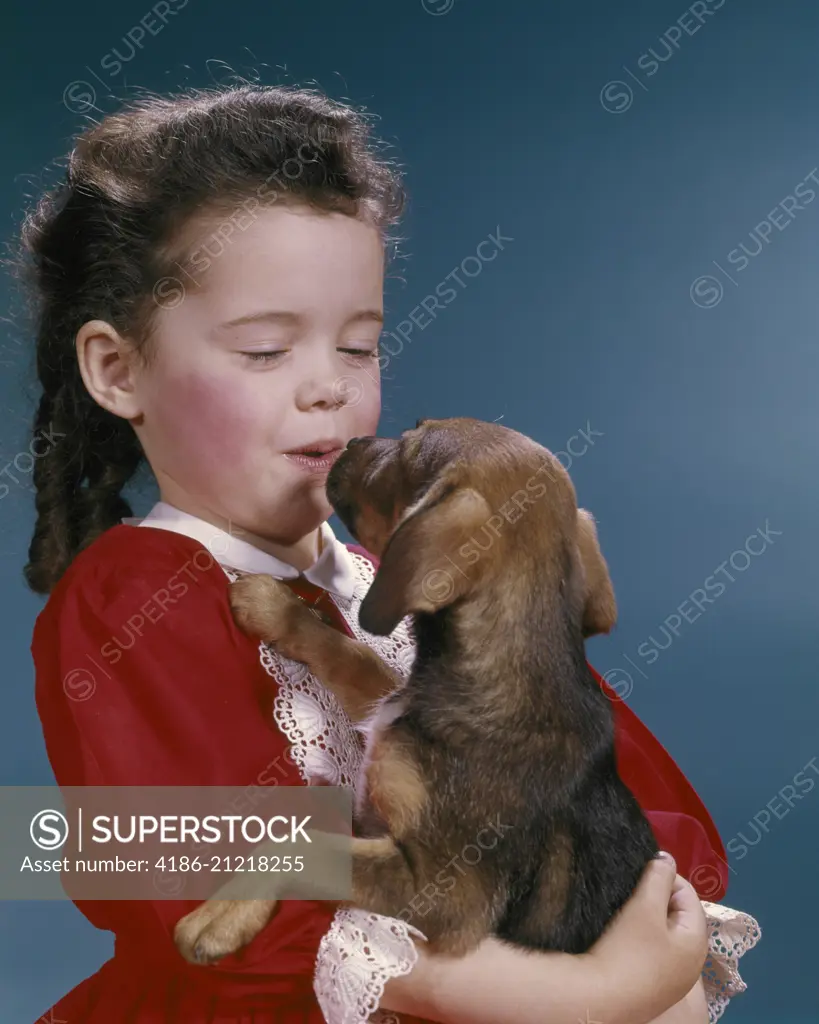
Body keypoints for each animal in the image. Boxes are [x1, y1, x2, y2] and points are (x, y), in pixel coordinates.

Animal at [174, 415, 659, 966]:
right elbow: (355, 654)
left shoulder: (445, 889)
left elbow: (311, 846)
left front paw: (224, 913)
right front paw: (275, 605)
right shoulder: (390, 706)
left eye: (406, 451)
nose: (352, 440)